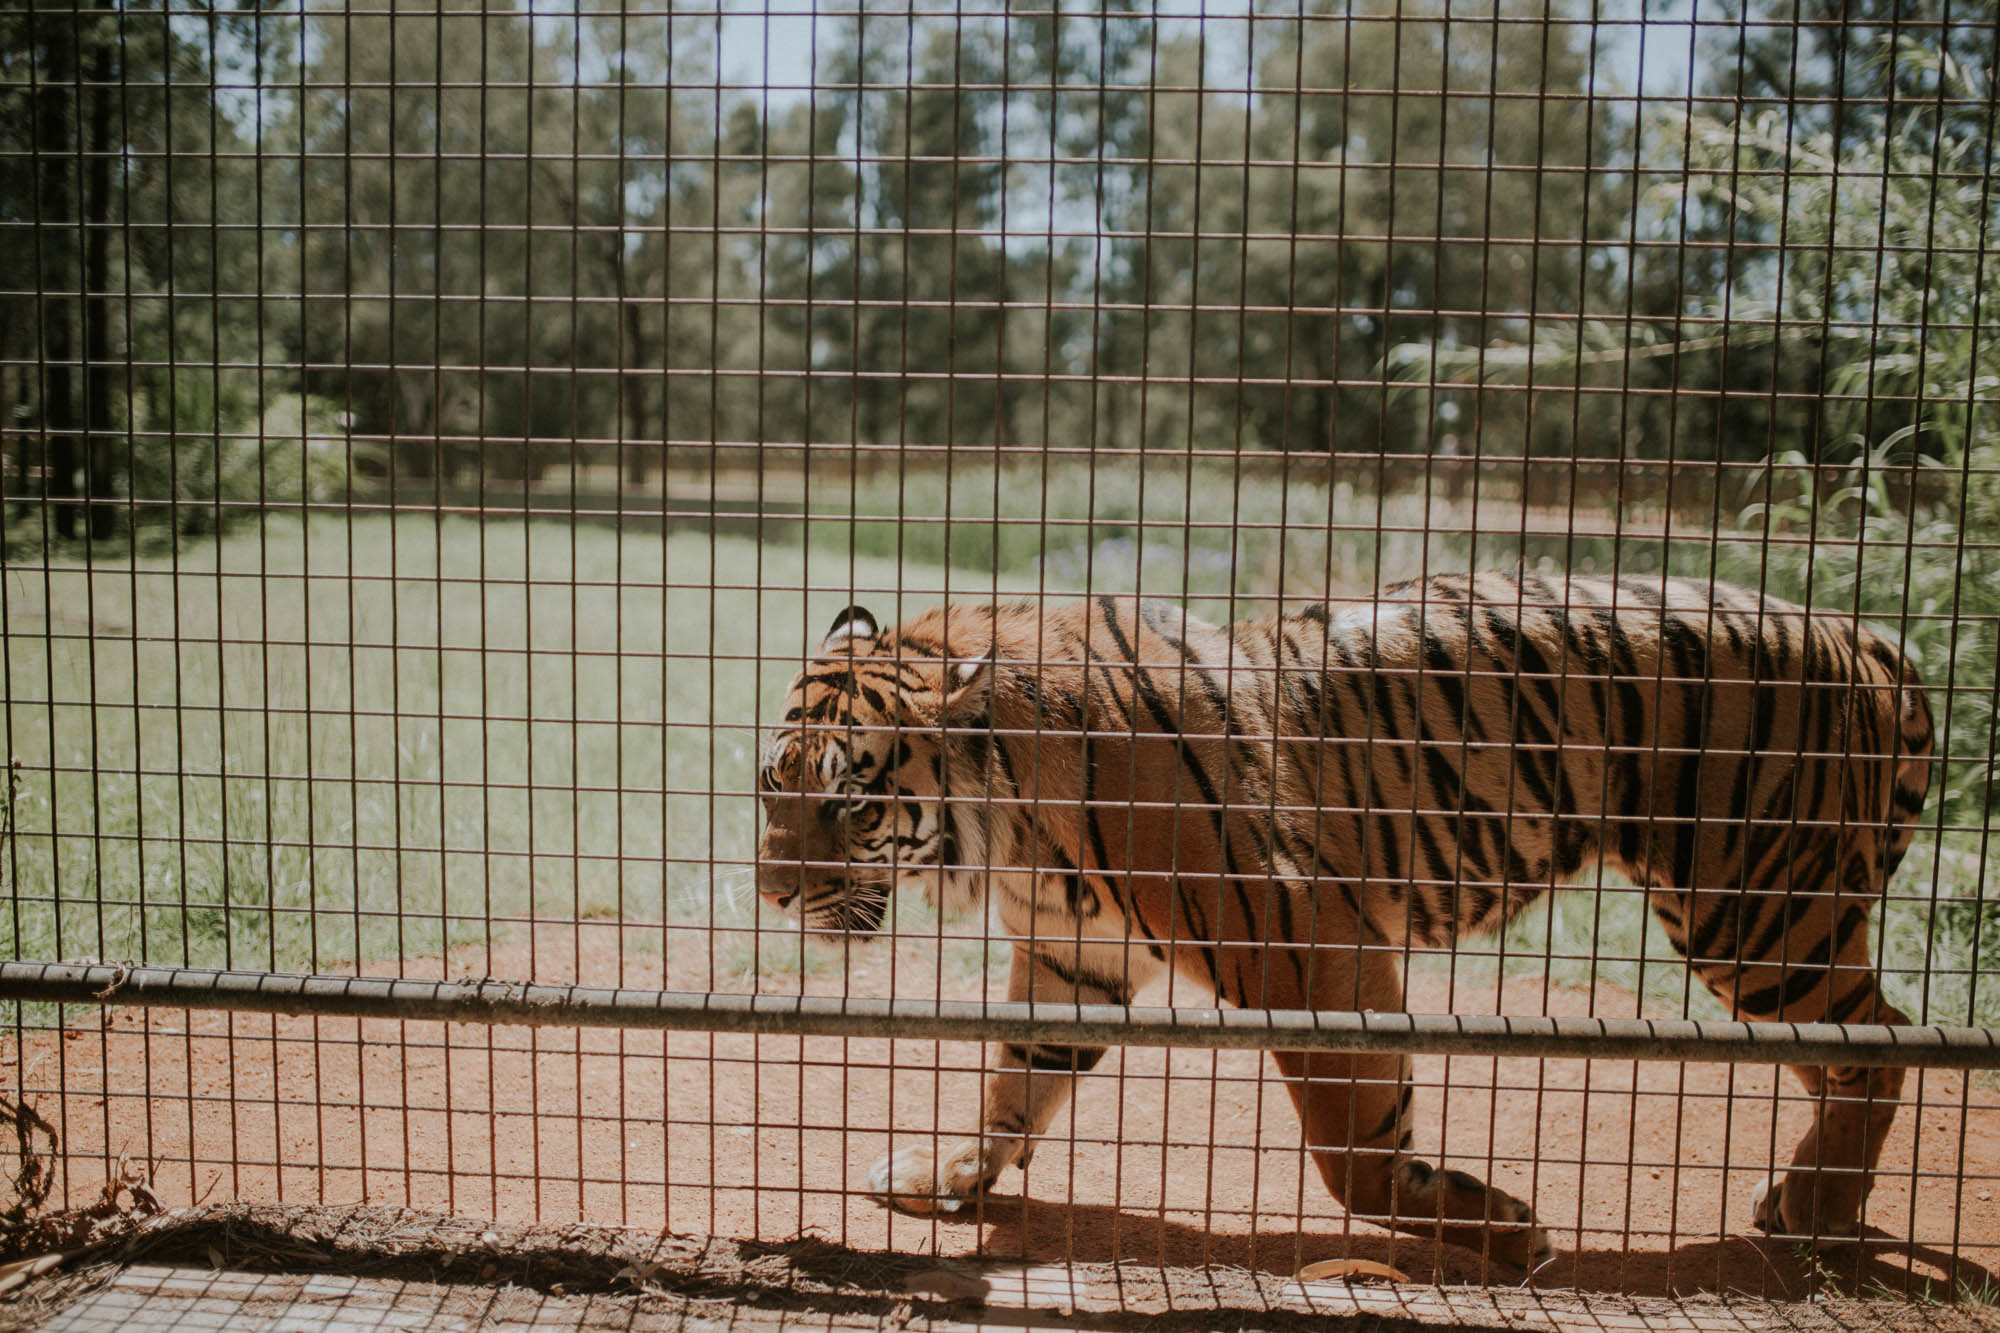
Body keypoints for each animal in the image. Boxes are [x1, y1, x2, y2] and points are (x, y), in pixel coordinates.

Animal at [752, 568, 1936, 1256]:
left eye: (848, 804)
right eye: (772, 786)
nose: (770, 891)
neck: (1005, 826)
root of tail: (1855, 629)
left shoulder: (1302, 941)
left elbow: (1349, 1152)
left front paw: (1508, 1231)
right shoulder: (1073, 953)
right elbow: (1014, 1084)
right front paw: (945, 1173)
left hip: (1753, 911)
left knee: (1882, 1045)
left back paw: (1818, 1209)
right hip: (1769, 925)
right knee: (1851, 1050)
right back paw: (1806, 1198)